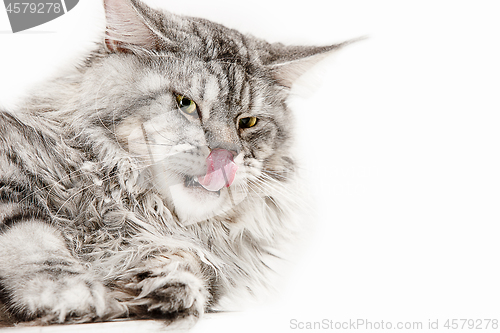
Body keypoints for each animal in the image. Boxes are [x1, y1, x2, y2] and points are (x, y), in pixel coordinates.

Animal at [0, 0, 352, 326]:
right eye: (186, 103)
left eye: (248, 122)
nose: (226, 157)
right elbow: (32, 238)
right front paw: (68, 292)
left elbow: (196, 269)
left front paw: (164, 283)